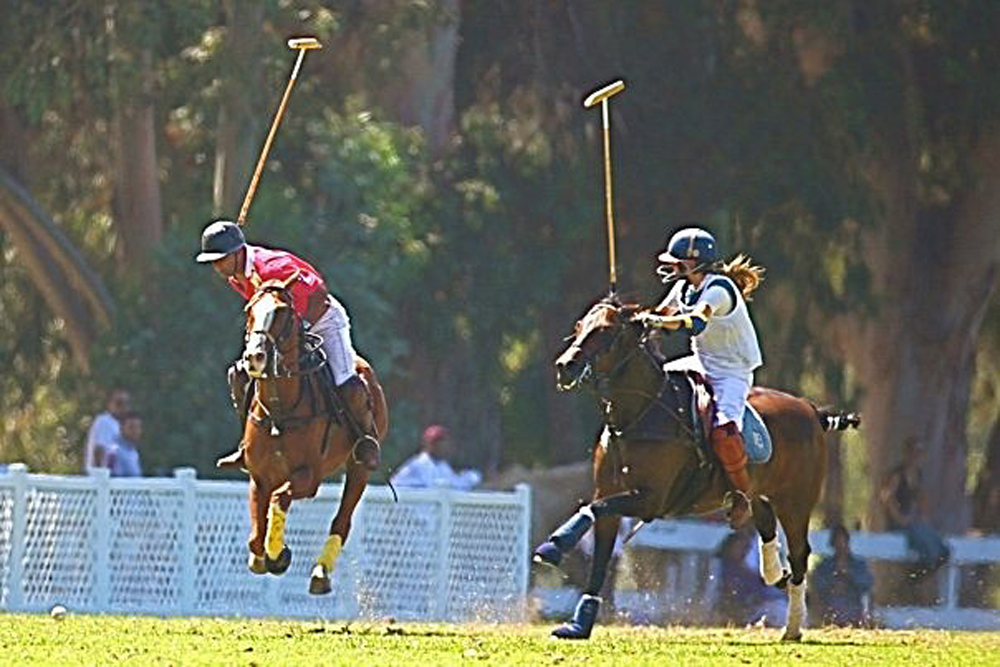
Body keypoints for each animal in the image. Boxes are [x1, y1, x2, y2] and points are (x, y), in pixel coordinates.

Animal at [238, 274, 388, 595]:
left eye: (282, 312)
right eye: (249, 310)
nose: (255, 357)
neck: (279, 412)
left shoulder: (309, 477)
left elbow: (280, 498)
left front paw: (277, 555)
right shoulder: (259, 476)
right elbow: (256, 534)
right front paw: (263, 556)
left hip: (358, 467)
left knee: (342, 520)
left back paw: (321, 573)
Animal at [533, 298, 858, 641]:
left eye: (606, 330)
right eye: (579, 326)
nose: (565, 366)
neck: (636, 416)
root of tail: (811, 410)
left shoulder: (652, 500)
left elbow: (594, 509)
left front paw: (553, 546)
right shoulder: (610, 492)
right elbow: (600, 552)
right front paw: (579, 624)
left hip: (796, 500)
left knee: (800, 555)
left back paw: (793, 627)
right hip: (761, 494)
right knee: (766, 527)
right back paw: (773, 574)